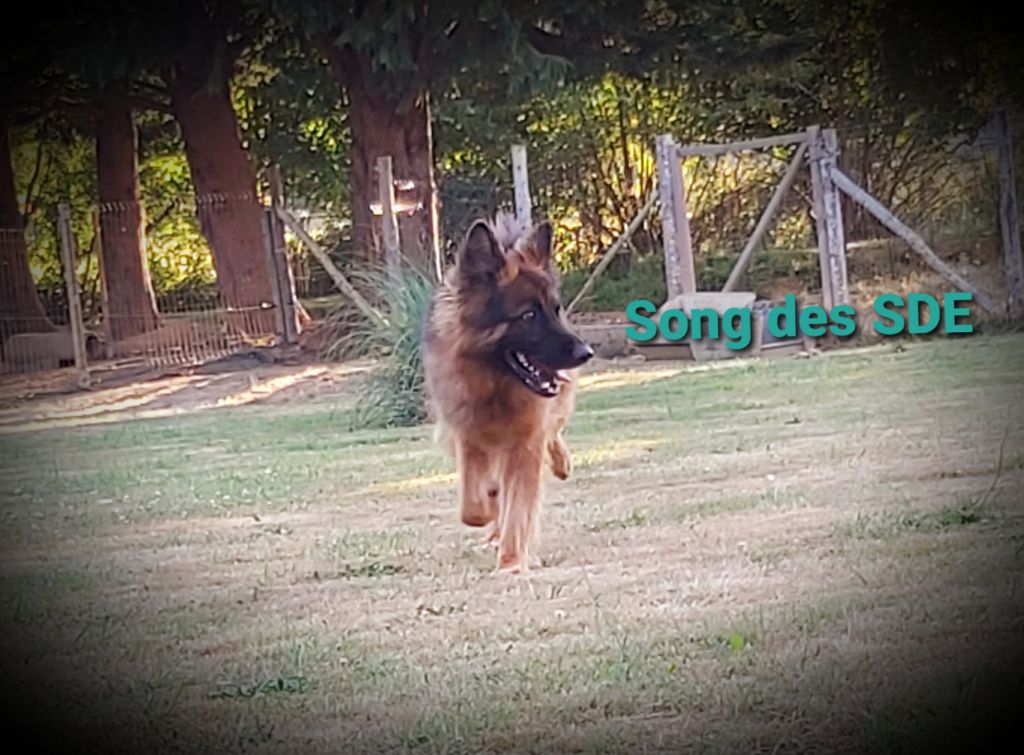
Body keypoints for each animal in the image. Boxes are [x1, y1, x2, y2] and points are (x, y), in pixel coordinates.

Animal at [421, 212, 598, 569]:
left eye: (555, 309)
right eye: (528, 315)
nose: (586, 352)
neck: (495, 386)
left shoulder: (525, 444)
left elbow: (518, 506)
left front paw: (512, 562)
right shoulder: (467, 438)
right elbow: (473, 507)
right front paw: (490, 509)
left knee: (553, 434)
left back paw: (560, 463)